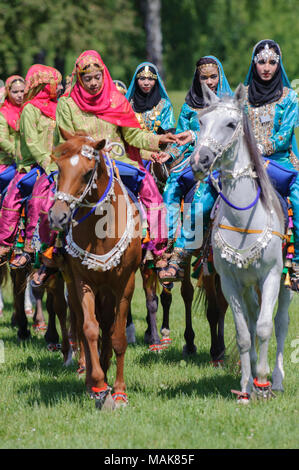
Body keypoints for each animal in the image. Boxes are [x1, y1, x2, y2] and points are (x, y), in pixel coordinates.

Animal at [49, 130, 142, 410]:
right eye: (59, 168)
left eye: (88, 172)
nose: (57, 217)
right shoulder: (82, 281)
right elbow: (89, 329)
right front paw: (99, 385)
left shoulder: (125, 284)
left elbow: (118, 336)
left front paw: (120, 392)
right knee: (81, 323)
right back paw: (91, 374)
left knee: (109, 326)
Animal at [191, 82, 294, 402]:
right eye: (201, 121)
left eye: (230, 124)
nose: (199, 161)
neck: (244, 220)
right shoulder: (230, 282)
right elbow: (244, 333)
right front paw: (247, 388)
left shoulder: (271, 275)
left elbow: (264, 328)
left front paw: (262, 384)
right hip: (249, 286)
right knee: (251, 317)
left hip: (286, 283)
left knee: (281, 324)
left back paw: (277, 380)